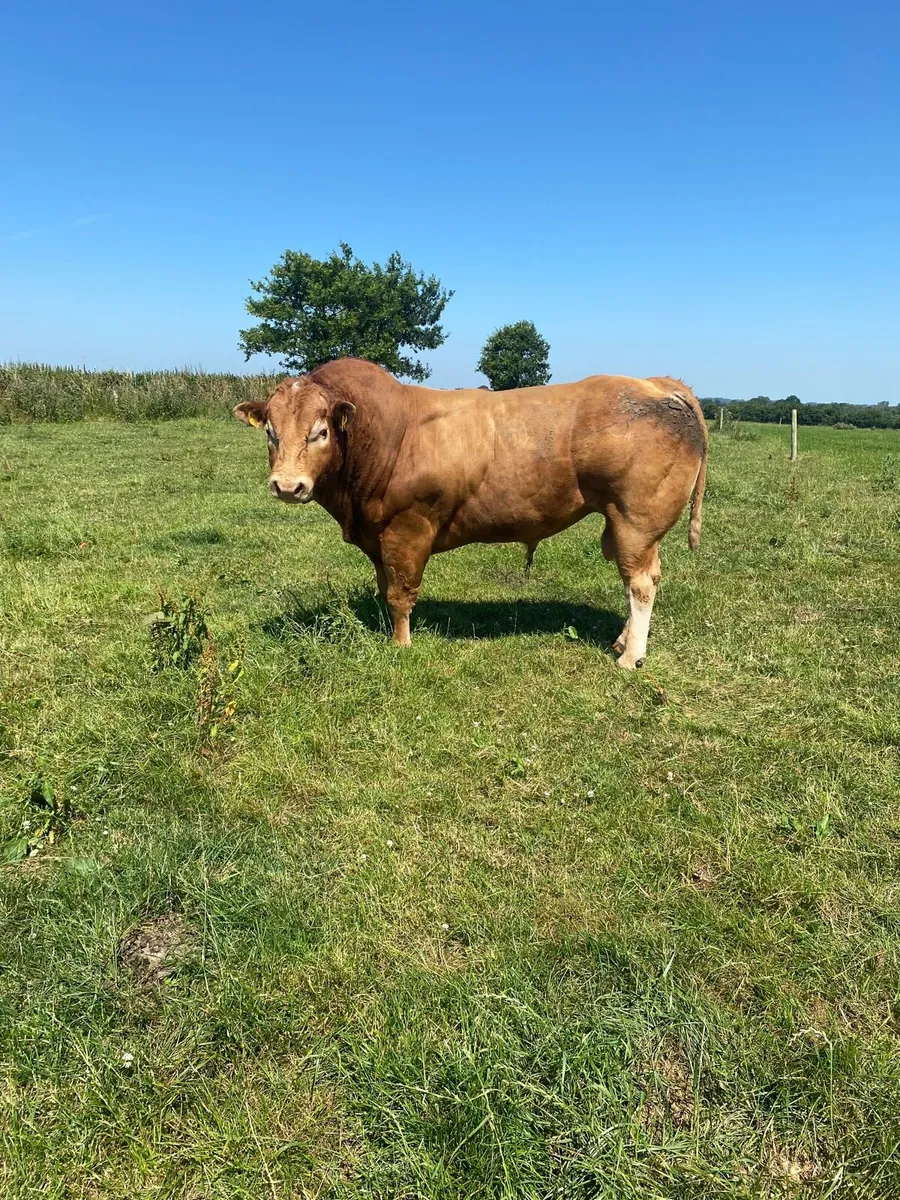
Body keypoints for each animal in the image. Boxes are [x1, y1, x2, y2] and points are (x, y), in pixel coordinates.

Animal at [234, 358, 707, 668]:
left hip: (635, 521)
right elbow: (385, 587)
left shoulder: (408, 528)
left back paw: (631, 656)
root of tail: (656, 383)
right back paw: (622, 642)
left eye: (321, 432)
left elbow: (400, 593)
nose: (288, 486)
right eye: (271, 431)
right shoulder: (378, 534)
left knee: (640, 584)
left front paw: (401, 645)